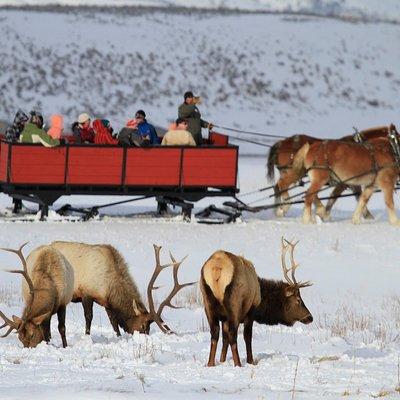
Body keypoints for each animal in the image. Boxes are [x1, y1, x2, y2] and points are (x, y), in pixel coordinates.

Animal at [50, 242, 194, 336]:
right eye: (143, 325)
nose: (144, 337)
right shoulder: (87, 293)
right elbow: (89, 317)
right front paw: (87, 335)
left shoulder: (107, 302)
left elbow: (114, 322)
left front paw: (119, 336)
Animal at [200, 239, 312, 368]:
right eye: (298, 299)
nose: (310, 317)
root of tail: (217, 268)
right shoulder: (251, 310)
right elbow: (247, 336)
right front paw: (251, 361)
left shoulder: (224, 318)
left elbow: (225, 339)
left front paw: (222, 361)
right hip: (234, 303)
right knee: (233, 334)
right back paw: (238, 364)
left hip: (207, 301)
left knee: (214, 333)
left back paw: (210, 364)